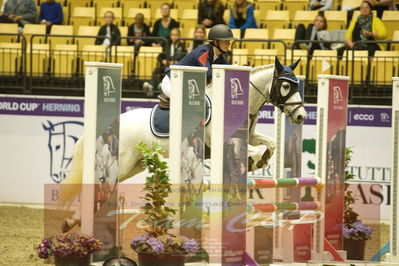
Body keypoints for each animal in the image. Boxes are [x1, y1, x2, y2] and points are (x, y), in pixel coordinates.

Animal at [58, 58, 306, 231]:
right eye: (285, 86)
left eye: (297, 87)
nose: (301, 116)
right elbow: (251, 151)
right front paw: (254, 161)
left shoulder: (251, 136)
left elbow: (270, 143)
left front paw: (261, 160)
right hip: (123, 164)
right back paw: (76, 220)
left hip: (134, 166)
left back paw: (72, 221)